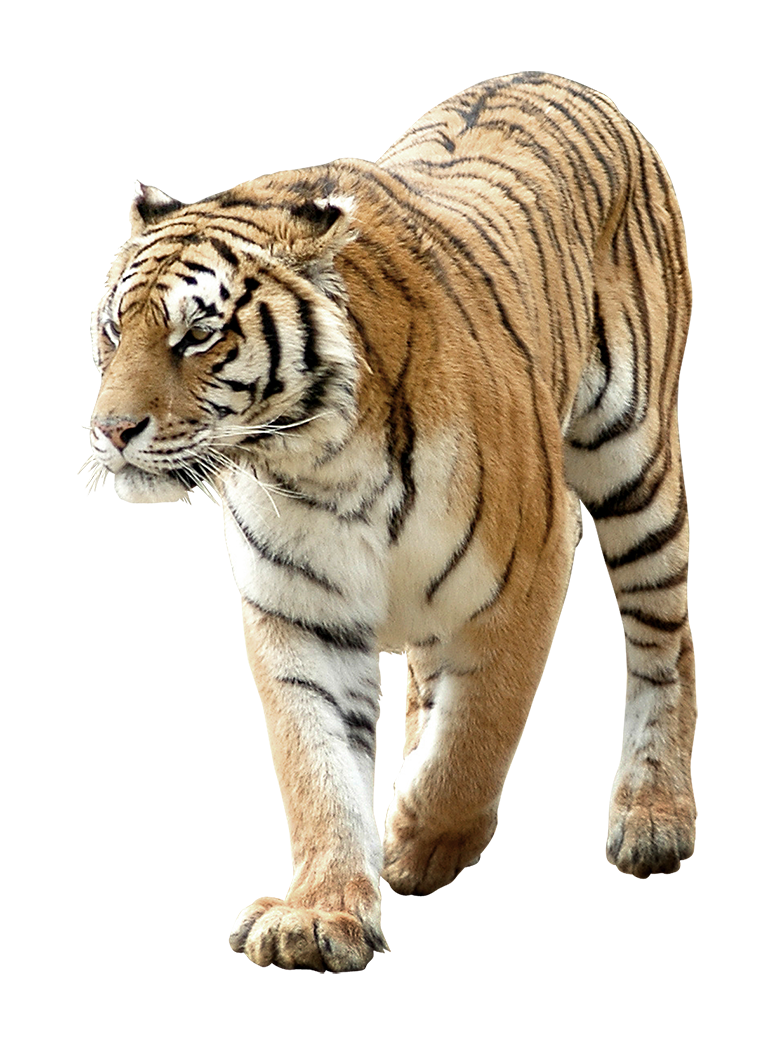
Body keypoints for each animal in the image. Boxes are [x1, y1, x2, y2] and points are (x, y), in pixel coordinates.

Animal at [86, 72, 696, 973]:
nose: (110, 430)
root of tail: (561, 80)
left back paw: (656, 813)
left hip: (634, 467)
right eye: (111, 329)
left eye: (197, 335)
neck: (317, 457)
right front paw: (317, 915)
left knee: (665, 645)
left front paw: (420, 834)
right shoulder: (301, 614)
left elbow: (478, 735)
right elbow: (319, 769)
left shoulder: (525, 572)